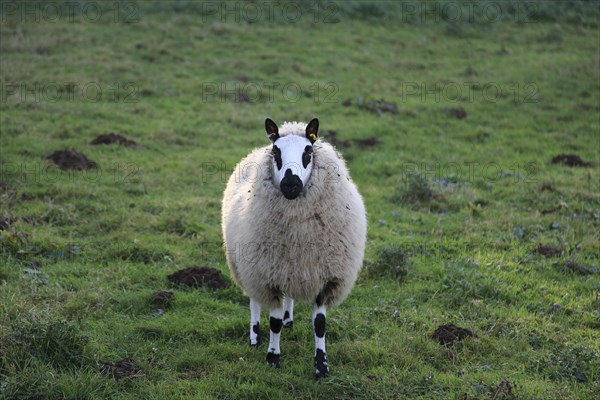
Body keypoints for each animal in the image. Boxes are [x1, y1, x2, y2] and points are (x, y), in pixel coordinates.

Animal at [223, 118, 368, 378]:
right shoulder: (268, 277)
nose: (291, 184)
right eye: (276, 152)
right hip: (248, 268)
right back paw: (255, 336)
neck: (299, 237)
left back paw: (289, 318)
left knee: (287, 299)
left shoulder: (325, 278)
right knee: (254, 301)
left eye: (308, 151)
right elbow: (273, 322)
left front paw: (321, 366)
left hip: (288, 267)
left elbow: (319, 325)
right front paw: (273, 358)